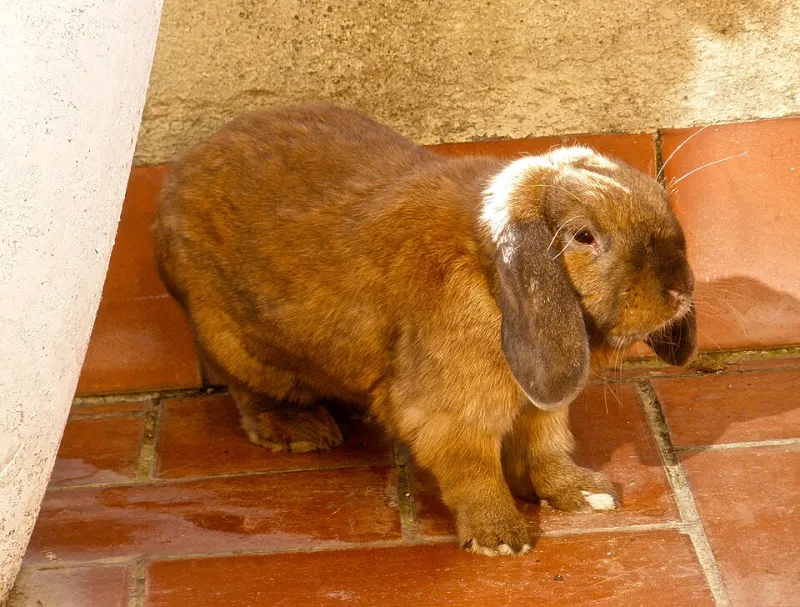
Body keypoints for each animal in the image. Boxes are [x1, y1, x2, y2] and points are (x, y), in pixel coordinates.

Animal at [154, 102, 696, 557]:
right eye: (584, 237)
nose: (678, 290)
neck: (488, 275)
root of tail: (178, 176)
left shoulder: (541, 405)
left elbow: (547, 448)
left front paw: (586, 493)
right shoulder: (449, 413)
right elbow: (473, 470)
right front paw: (501, 537)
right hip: (234, 343)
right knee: (251, 396)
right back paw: (302, 430)